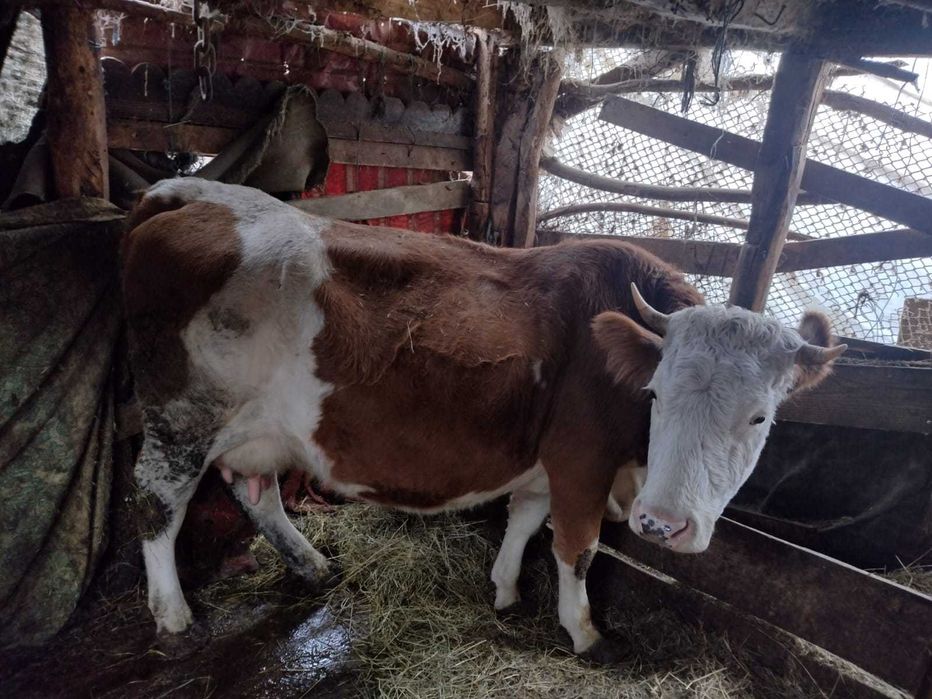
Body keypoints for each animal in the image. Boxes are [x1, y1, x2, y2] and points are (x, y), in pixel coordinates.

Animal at [122, 178, 845, 662]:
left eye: (759, 417)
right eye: (656, 394)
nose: (662, 524)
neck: (635, 471)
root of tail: (194, 193)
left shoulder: (546, 459)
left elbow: (524, 520)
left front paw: (504, 590)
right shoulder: (581, 458)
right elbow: (576, 547)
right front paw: (584, 631)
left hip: (257, 429)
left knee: (257, 492)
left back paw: (313, 564)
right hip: (182, 417)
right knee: (157, 501)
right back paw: (173, 614)